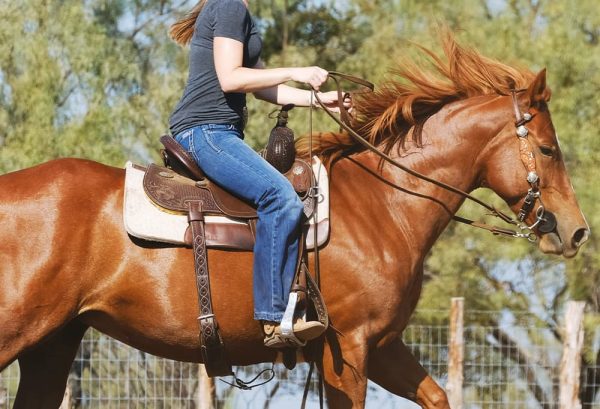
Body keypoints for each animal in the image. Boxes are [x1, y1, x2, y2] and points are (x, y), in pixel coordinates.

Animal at [0, 36, 592, 406]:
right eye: (549, 148)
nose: (576, 230)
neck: (383, 205)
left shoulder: (382, 348)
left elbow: (438, 395)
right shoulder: (347, 350)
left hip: (53, 344)